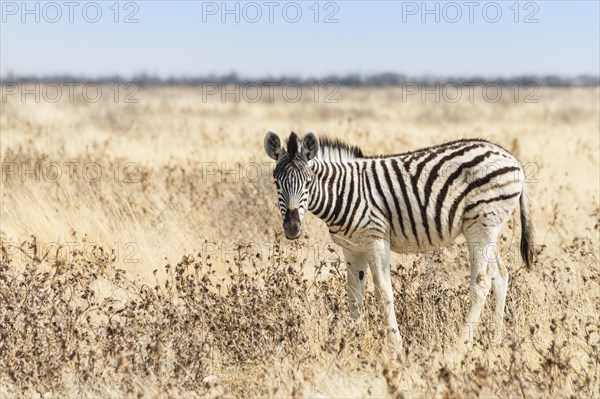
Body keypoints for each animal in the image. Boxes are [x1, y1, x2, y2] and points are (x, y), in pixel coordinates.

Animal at [262, 132, 536, 350]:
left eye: (308, 182)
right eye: (276, 182)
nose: (292, 228)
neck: (343, 191)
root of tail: (514, 160)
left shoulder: (375, 239)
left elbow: (384, 291)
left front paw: (396, 345)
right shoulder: (352, 249)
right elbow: (354, 297)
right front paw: (350, 343)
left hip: (480, 227)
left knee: (481, 283)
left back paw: (462, 344)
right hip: (489, 231)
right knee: (500, 275)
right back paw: (495, 340)